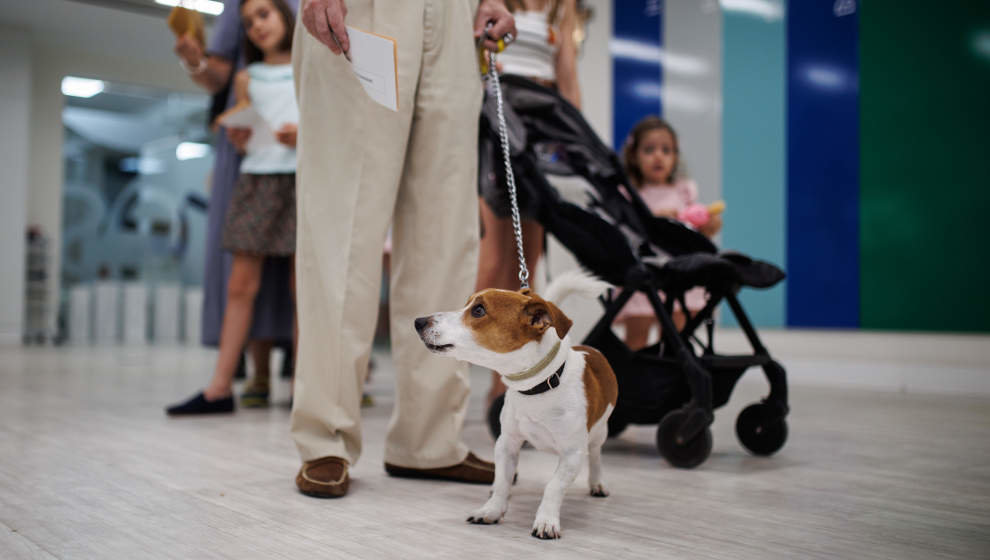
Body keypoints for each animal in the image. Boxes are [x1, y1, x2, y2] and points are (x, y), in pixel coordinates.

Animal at [414, 274, 616, 540]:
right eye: (467, 304)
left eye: (478, 310)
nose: (418, 321)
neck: (538, 385)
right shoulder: (506, 443)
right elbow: (502, 481)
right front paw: (492, 510)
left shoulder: (572, 454)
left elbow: (553, 486)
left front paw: (546, 521)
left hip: (599, 432)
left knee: (596, 455)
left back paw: (598, 482)